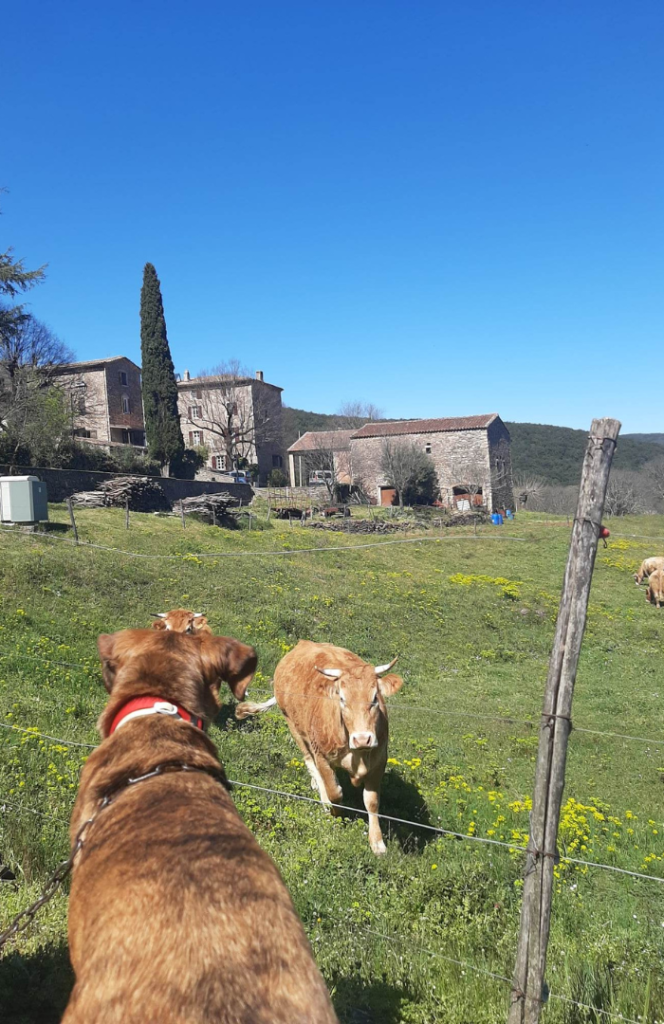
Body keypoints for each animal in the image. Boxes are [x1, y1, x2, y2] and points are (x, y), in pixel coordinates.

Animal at [235, 638, 401, 856]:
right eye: (342, 699)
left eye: (375, 698)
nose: (362, 739)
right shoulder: (322, 755)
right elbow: (334, 791)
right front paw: (334, 811)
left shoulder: (379, 761)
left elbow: (372, 801)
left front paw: (377, 843)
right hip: (295, 727)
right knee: (309, 761)